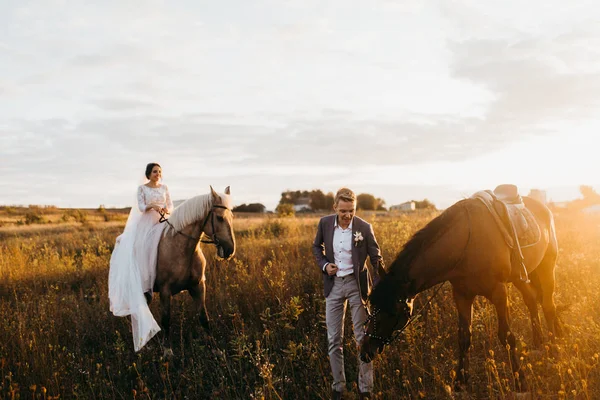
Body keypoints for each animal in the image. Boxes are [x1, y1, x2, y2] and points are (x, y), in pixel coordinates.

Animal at [152, 185, 234, 354]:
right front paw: (167, 351)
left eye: (232, 216)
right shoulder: (165, 290)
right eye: (219, 218)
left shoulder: (198, 286)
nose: (230, 250)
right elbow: (166, 319)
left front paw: (215, 349)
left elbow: (204, 317)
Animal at [360, 196, 564, 390]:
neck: (467, 243)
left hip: (547, 267)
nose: (365, 351)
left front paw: (520, 381)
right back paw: (539, 342)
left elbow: (506, 336)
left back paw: (554, 349)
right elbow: (464, 337)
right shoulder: (462, 295)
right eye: (372, 303)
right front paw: (460, 381)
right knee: (531, 300)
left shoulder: (499, 293)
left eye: (393, 311)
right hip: (521, 276)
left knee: (548, 306)